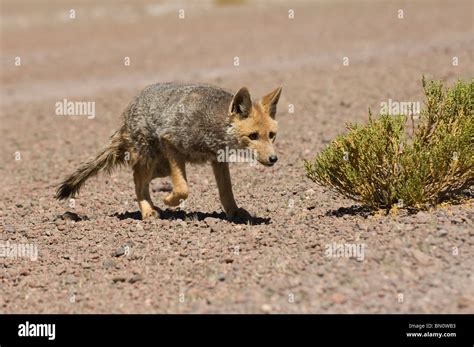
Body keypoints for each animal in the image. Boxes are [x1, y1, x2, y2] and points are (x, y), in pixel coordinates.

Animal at [57, 83, 284, 220]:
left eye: (272, 135)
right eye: (253, 136)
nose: (273, 158)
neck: (212, 120)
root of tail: (126, 115)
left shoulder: (218, 159)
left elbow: (226, 190)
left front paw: (234, 212)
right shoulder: (172, 144)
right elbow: (183, 188)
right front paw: (170, 200)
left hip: (160, 167)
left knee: (139, 179)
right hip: (151, 159)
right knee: (138, 182)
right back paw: (148, 211)